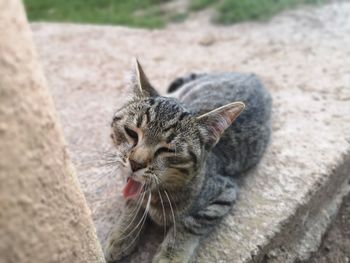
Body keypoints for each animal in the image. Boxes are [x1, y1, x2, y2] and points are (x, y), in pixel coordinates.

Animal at [102, 59, 272, 263]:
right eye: (131, 133)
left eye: (168, 150)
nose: (136, 163)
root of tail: (252, 76)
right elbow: (133, 201)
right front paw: (123, 234)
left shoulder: (225, 192)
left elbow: (189, 224)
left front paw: (169, 256)